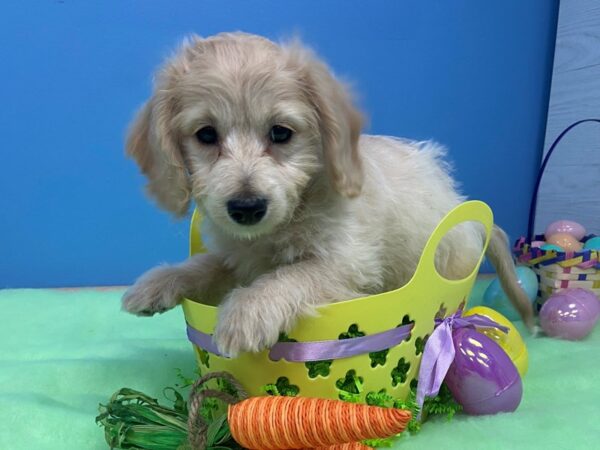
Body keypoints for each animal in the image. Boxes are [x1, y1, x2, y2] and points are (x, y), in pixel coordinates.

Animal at [122, 31, 536, 356]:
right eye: (206, 135)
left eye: (281, 133)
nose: (247, 208)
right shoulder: (238, 255)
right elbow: (206, 264)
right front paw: (159, 282)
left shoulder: (348, 262)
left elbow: (294, 274)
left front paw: (247, 310)